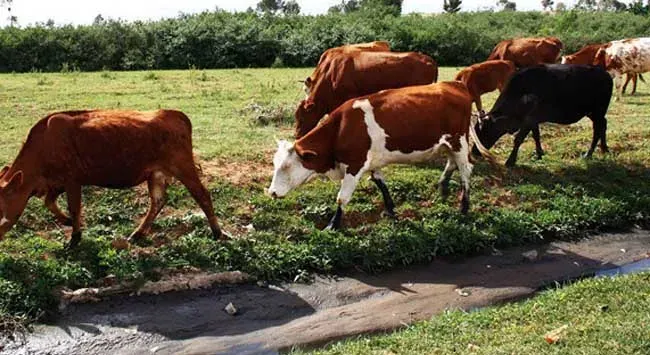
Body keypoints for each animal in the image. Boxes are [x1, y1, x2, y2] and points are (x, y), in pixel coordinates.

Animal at [0, 110, 225, 249]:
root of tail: (174, 114)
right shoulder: (56, 183)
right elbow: (49, 202)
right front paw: (67, 222)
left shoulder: (72, 180)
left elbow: (74, 207)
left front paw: (74, 239)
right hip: (156, 174)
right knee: (158, 201)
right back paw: (138, 233)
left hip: (183, 167)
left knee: (202, 195)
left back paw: (217, 232)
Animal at [266, 81, 494, 229]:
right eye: (275, 164)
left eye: (286, 167)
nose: (272, 192)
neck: (341, 128)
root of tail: (455, 85)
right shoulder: (372, 162)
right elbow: (380, 182)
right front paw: (390, 210)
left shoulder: (355, 165)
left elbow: (342, 198)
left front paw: (333, 224)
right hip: (447, 144)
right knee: (451, 164)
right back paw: (442, 188)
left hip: (459, 142)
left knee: (465, 170)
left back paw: (464, 206)